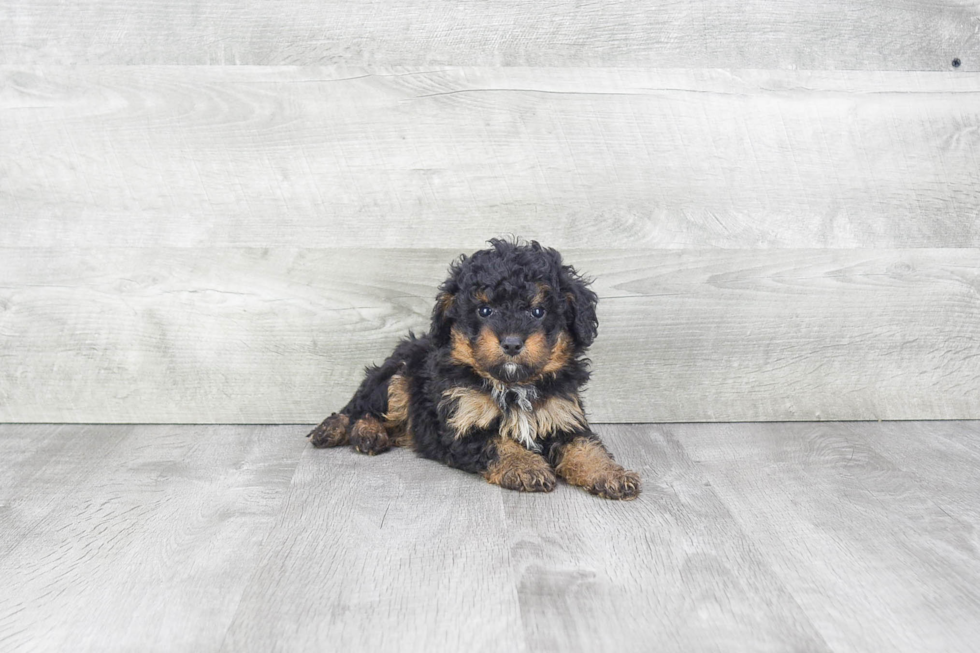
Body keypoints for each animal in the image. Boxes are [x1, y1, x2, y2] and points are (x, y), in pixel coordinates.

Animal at [308, 239, 644, 500]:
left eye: (538, 311)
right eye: (485, 310)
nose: (511, 343)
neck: (513, 385)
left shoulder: (564, 416)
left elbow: (586, 447)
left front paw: (611, 474)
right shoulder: (461, 424)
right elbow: (498, 442)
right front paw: (526, 466)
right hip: (397, 376)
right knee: (360, 407)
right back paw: (353, 431)